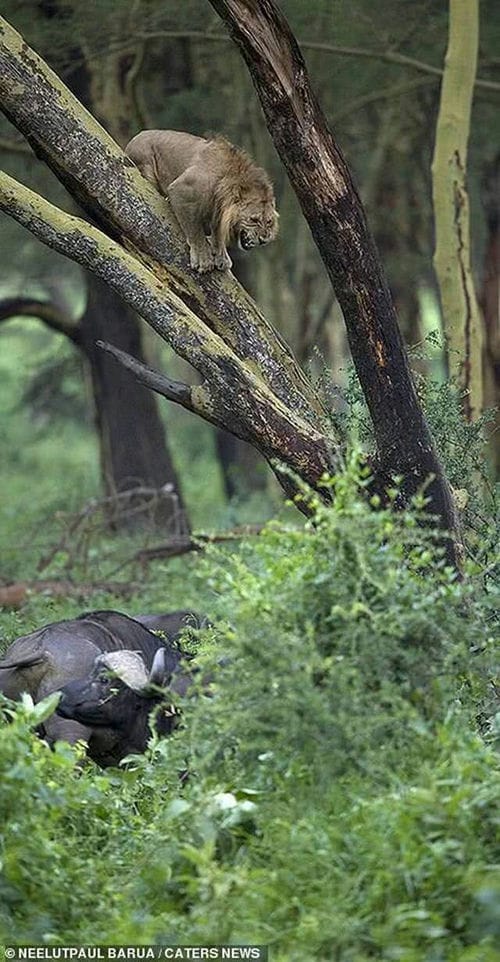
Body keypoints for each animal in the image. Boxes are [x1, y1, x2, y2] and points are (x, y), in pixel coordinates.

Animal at [124, 129, 280, 272]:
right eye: (253, 220)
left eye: (269, 222)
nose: (264, 240)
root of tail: (136, 136)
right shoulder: (181, 190)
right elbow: (195, 230)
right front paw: (202, 259)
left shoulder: (218, 211)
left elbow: (218, 232)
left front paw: (221, 255)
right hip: (145, 163)